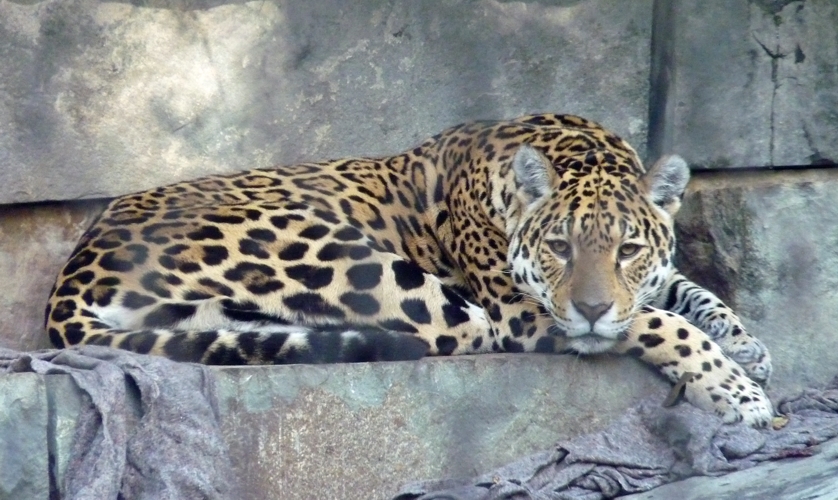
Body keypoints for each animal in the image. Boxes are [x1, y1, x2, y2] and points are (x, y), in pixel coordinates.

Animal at [45, 113, 773, 426]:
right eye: (559, 247)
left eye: (627, 249)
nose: (591, 309)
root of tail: (74, 270)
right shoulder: (521, 310)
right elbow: (659, 323)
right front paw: (736, 390)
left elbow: (681, 291)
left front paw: (746, 344)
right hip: (391, 280)